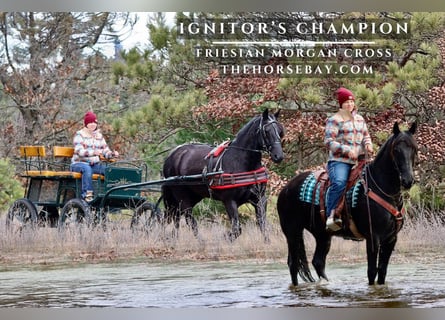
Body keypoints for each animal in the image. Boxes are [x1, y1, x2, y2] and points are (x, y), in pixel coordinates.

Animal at [161, 109, 282, 239]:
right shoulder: (229, 201)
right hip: (182, 196)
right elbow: (236, 229)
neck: (241, 161)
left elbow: (263, 226)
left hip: (193, 196)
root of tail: (171, 155)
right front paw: (225, 237)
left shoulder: (260, 199)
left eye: (280, 131)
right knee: (189, 220)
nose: (278, 156)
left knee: (177, 218)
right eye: (266, 131)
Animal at [278, 122, 416, 284]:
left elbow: (382, 272)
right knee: (293, 264)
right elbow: (372, 272)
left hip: (322, 235)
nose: (407, 180)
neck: (381, 188)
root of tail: (286, 188)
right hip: (292, 232)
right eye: (396, 149)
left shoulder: (391, 239)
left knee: (318, 262)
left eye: (414, 148)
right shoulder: (373, 237)